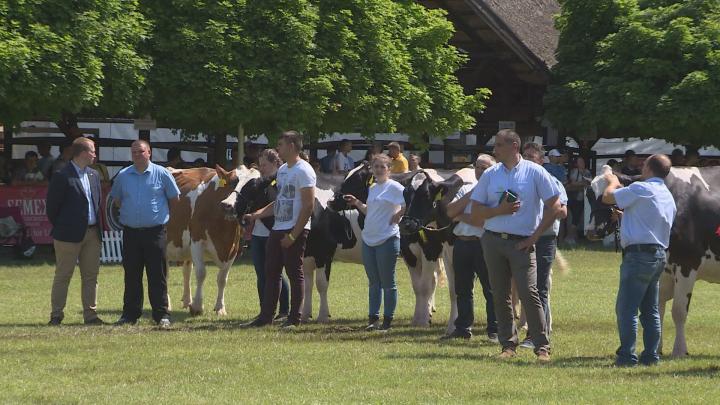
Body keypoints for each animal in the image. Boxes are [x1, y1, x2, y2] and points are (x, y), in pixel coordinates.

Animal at [224, 175, 362, 320]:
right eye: (235, 182)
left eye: (253, 186)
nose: (226, 204)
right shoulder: (306, 254)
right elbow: (307, 285)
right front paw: (305, 315)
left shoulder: (324, 253)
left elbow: (321, 284)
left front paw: (323, 316)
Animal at [396, 166, 476, 332]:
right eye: (405, 193)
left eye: (426, 194)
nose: (406, 225)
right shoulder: (442, 253)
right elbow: (450, 289)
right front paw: (452, 325)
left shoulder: (431, 250)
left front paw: (423, 320)